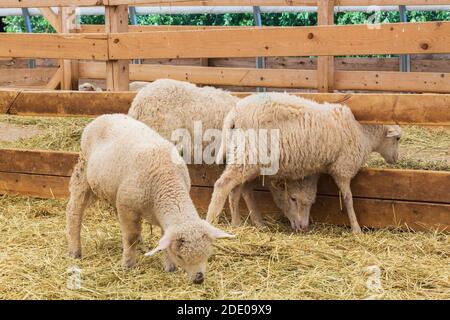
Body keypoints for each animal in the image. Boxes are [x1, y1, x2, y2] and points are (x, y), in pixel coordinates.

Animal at [67, 114, 236, 284]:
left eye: (207, 254)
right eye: (180, 256)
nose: (198, 279)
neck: (166, 178)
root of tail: (104, 116)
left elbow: (161, 238)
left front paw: (169, 267)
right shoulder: (128, 207)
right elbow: (131, 237)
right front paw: (128, 264)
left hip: (115, 191)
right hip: (83, 171)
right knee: (75, 210)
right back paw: (75, 250)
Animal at [207, 92, 400, 232]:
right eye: (398, 138)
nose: (396, 160)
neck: (362, 133)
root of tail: (234, 113)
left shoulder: (313, 171)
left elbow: (307, 193)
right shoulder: (342, 168)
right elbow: (348, 199)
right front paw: (356, 228)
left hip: (243, 154)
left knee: (236, 189)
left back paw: (237, 223)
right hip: (249, 153)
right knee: (223, 185)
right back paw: (212, 220)